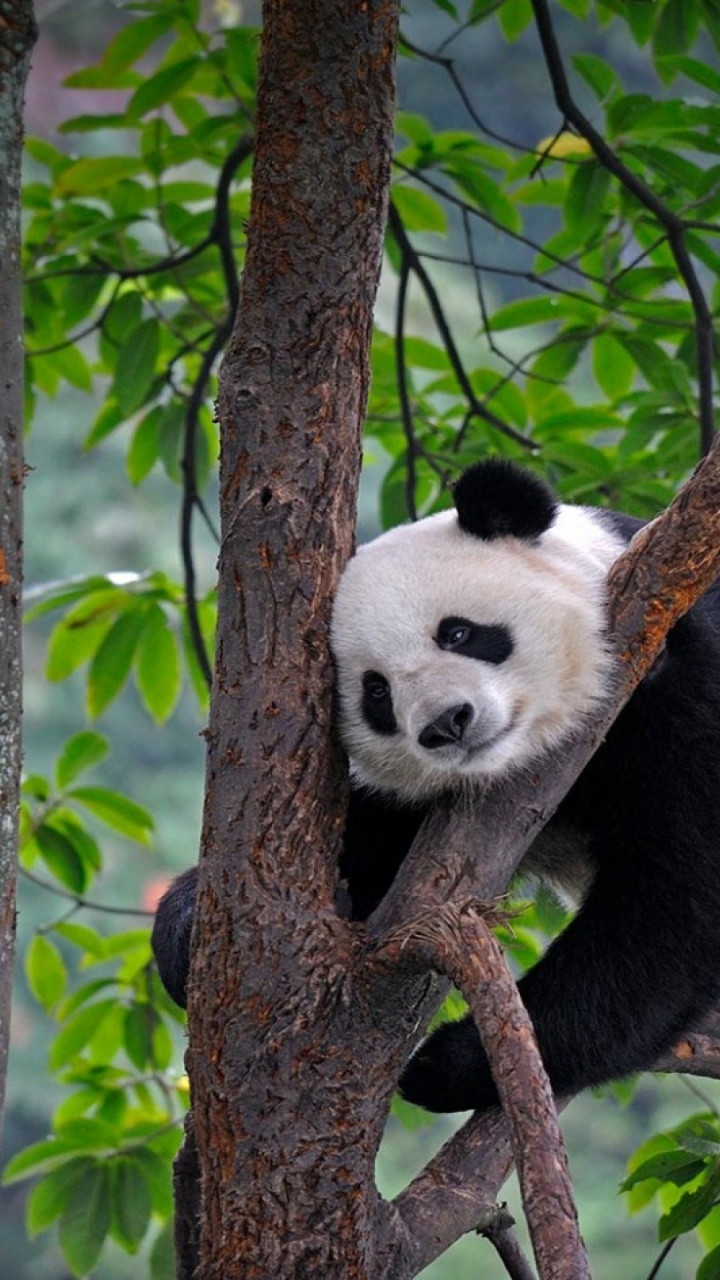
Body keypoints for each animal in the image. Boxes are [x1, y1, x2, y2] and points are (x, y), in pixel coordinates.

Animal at [152, 458, 720, 1114]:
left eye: (458, 634)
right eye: (376, 692)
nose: (446, 724)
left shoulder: (684, 679)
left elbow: (675, 907)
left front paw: (450, 1063)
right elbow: (367, 853)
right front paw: (187, 927)